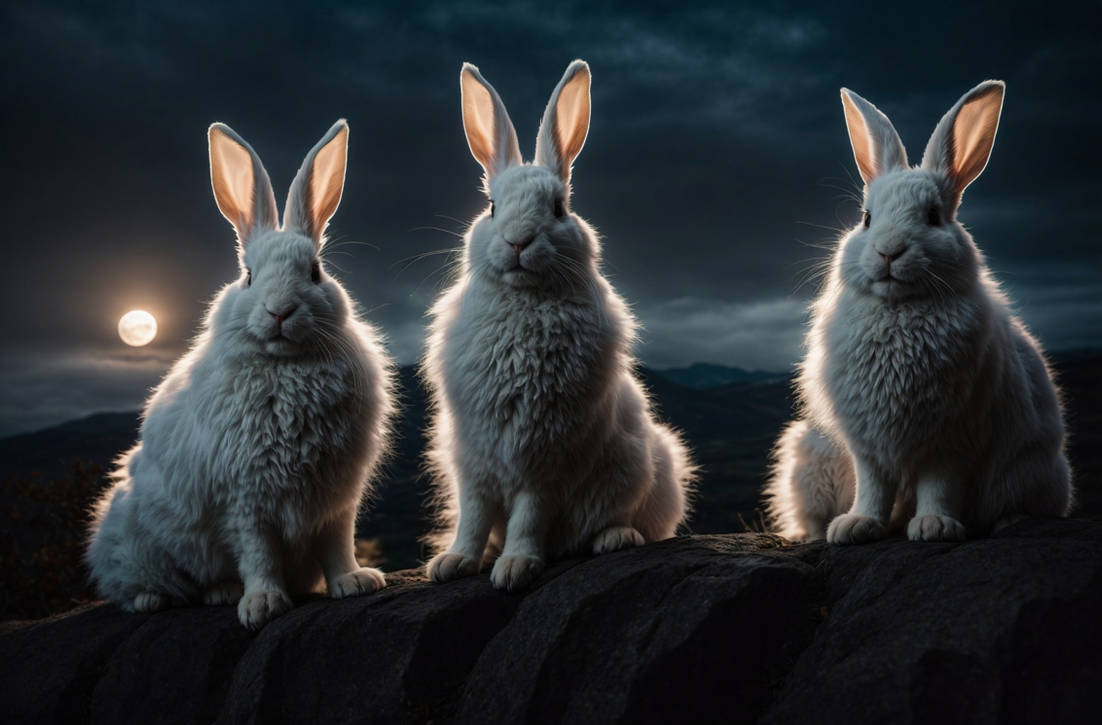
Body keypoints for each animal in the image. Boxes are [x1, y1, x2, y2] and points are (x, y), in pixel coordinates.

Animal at [85, 120, 395, 629]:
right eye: (248, 276)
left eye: (315, 272)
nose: (279, 311)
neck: (286, 365)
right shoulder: (244, 499)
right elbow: (258, 553)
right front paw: (263, 605)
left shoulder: (334, 499)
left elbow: (336, 545)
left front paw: (354, 582)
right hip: (136, 541)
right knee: (131, 585)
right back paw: (159, 598)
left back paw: (222, 592)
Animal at [421, 60, 696, 591]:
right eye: (491, 207)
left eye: (559, 208)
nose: (518, 240)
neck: (525, 300)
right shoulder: (474, 460)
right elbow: (473, 516)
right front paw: (455, 562)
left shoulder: (545, 457)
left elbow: (529, 516)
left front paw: (515, 568)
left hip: (646, 469)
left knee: (633, 522)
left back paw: (614, 538)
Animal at [764, 81, 1072, 544]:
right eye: (866, 218)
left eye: (932, 216)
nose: (889, 251)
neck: (898, 309)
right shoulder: (868, 446)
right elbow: (872, 487)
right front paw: (856, 526)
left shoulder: (950, 440)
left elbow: (938, 485)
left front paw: (933, 527)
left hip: (1032, 471)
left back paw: (1010, 521)